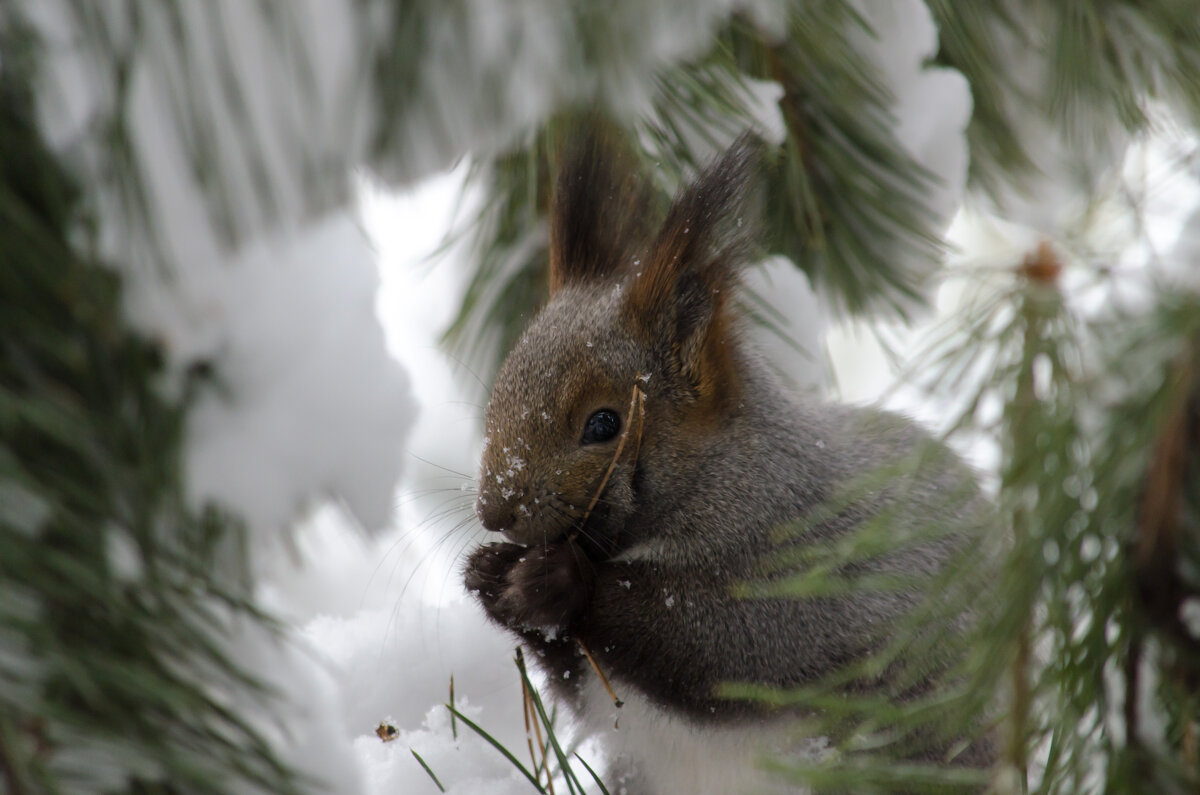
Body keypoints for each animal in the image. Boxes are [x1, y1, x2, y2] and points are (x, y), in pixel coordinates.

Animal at [458, 127, 993, 792]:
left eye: (604, 424)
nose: (495, 512)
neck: (733, 480)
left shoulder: (819, 579)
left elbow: (727, 647)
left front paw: (558, 580)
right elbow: (583, 684)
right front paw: (486, 573)